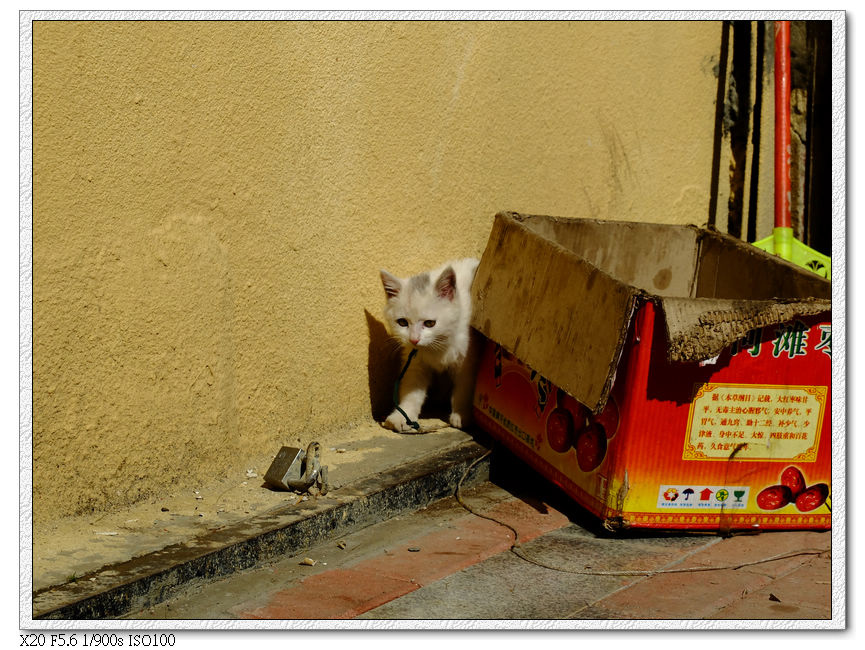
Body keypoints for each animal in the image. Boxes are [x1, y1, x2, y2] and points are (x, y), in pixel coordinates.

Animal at [380, 256, 482, 430]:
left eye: (429, 323)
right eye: (402, 322)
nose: (414, 339)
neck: (437, 345)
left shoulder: (467, 359)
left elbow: (464, 388)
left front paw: (461, 415)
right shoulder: (414, 360)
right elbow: (411, 390)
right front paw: (403, 415)